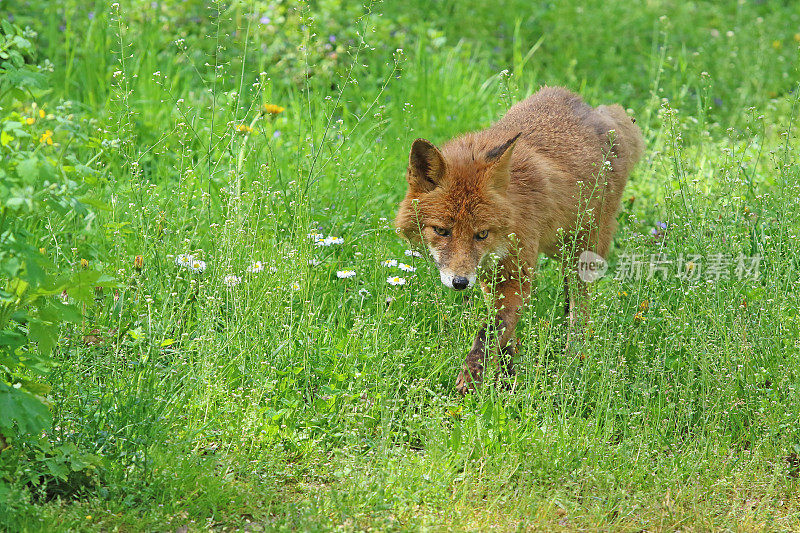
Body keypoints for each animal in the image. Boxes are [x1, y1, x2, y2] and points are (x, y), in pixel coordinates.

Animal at [394, 86, 644, 394]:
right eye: (441, 231)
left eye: (482, 234)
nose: (460, 283)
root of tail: (596, 109)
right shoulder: (489, 278)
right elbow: (503, 333)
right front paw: (506, 376)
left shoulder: (517, 275)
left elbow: (490, 333)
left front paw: (472, 378)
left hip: (583, 250)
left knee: (580, 308)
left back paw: (574, 359)